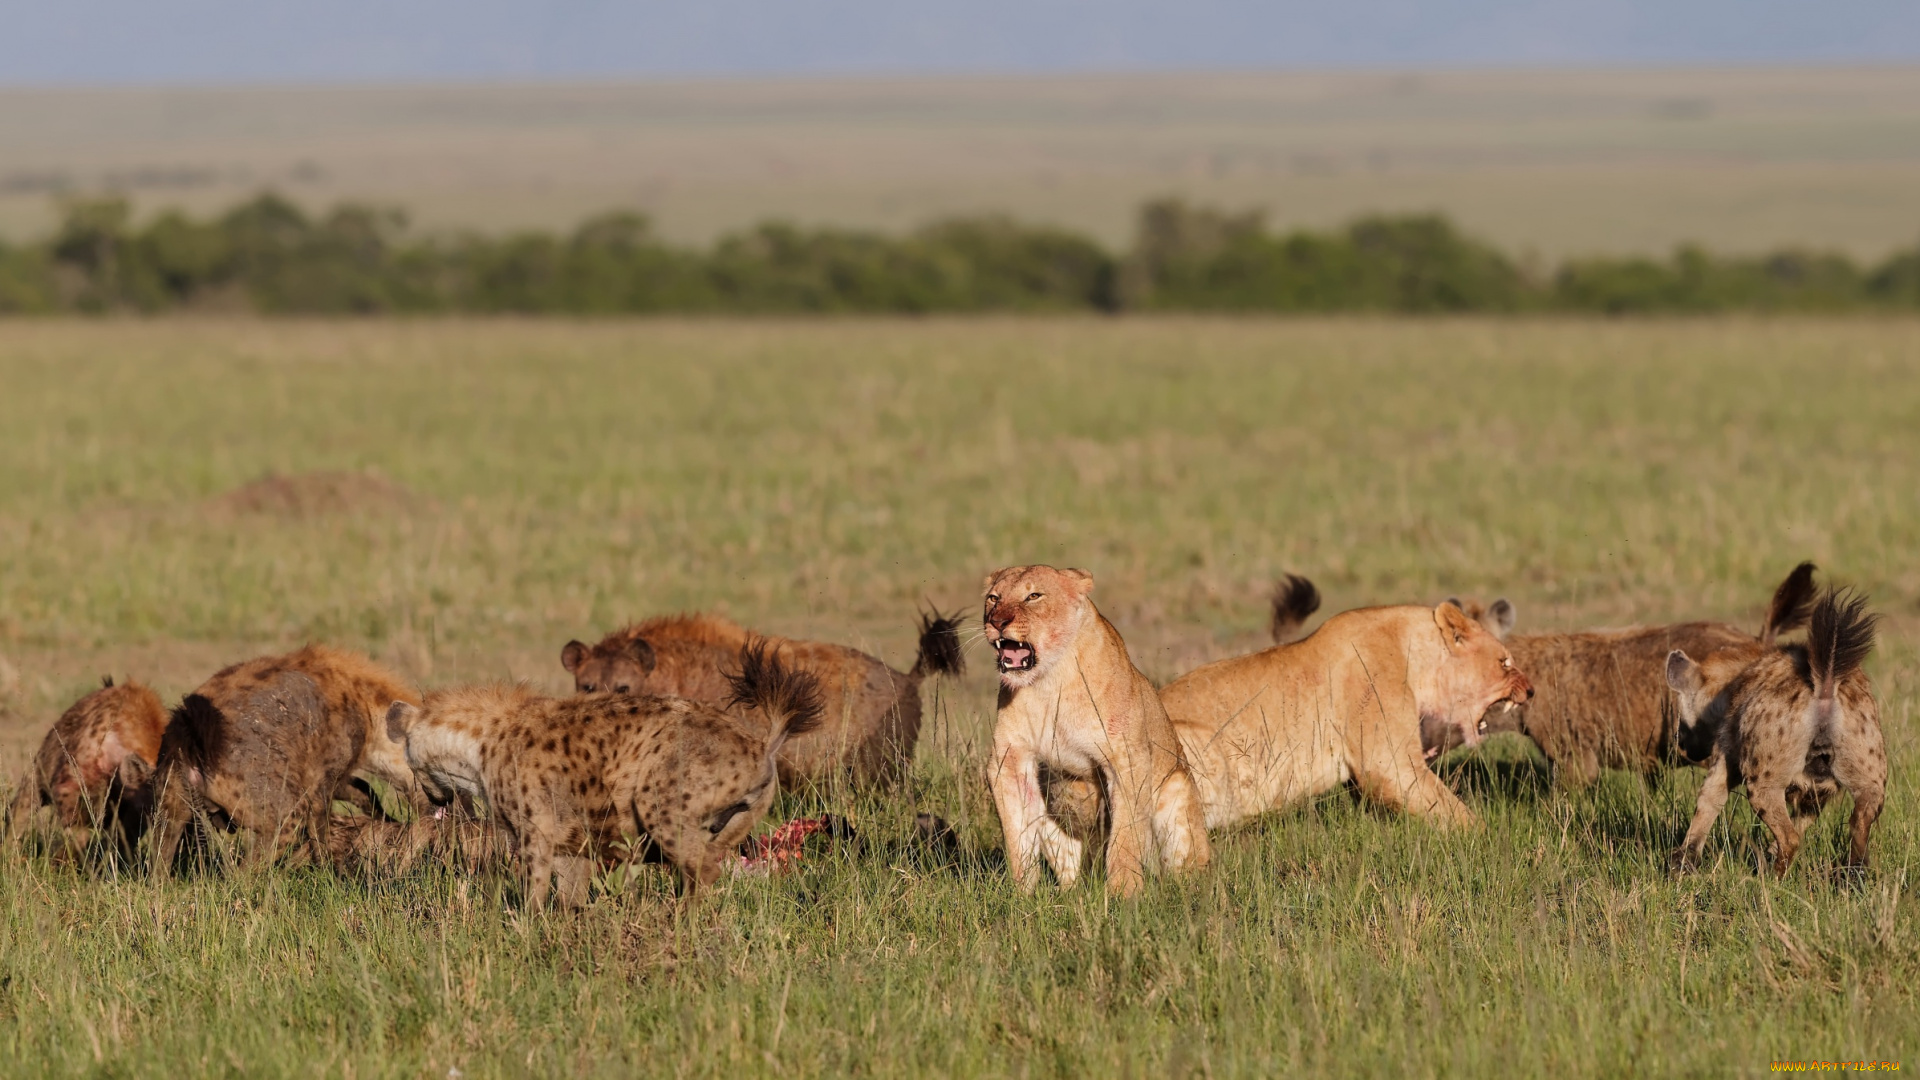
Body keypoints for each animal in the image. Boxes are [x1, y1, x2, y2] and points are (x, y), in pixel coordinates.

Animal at [983, 565, 1210, 897]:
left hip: (1178, 797)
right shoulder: (1009, 760)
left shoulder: (1126, 758)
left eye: (1034, 596)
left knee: (1185, 870)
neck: (1049, 681)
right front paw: (1022, 895)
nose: (997, 622)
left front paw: (1124, 894)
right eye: (993, 598)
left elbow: (1125, 835)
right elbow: (1018, 837)